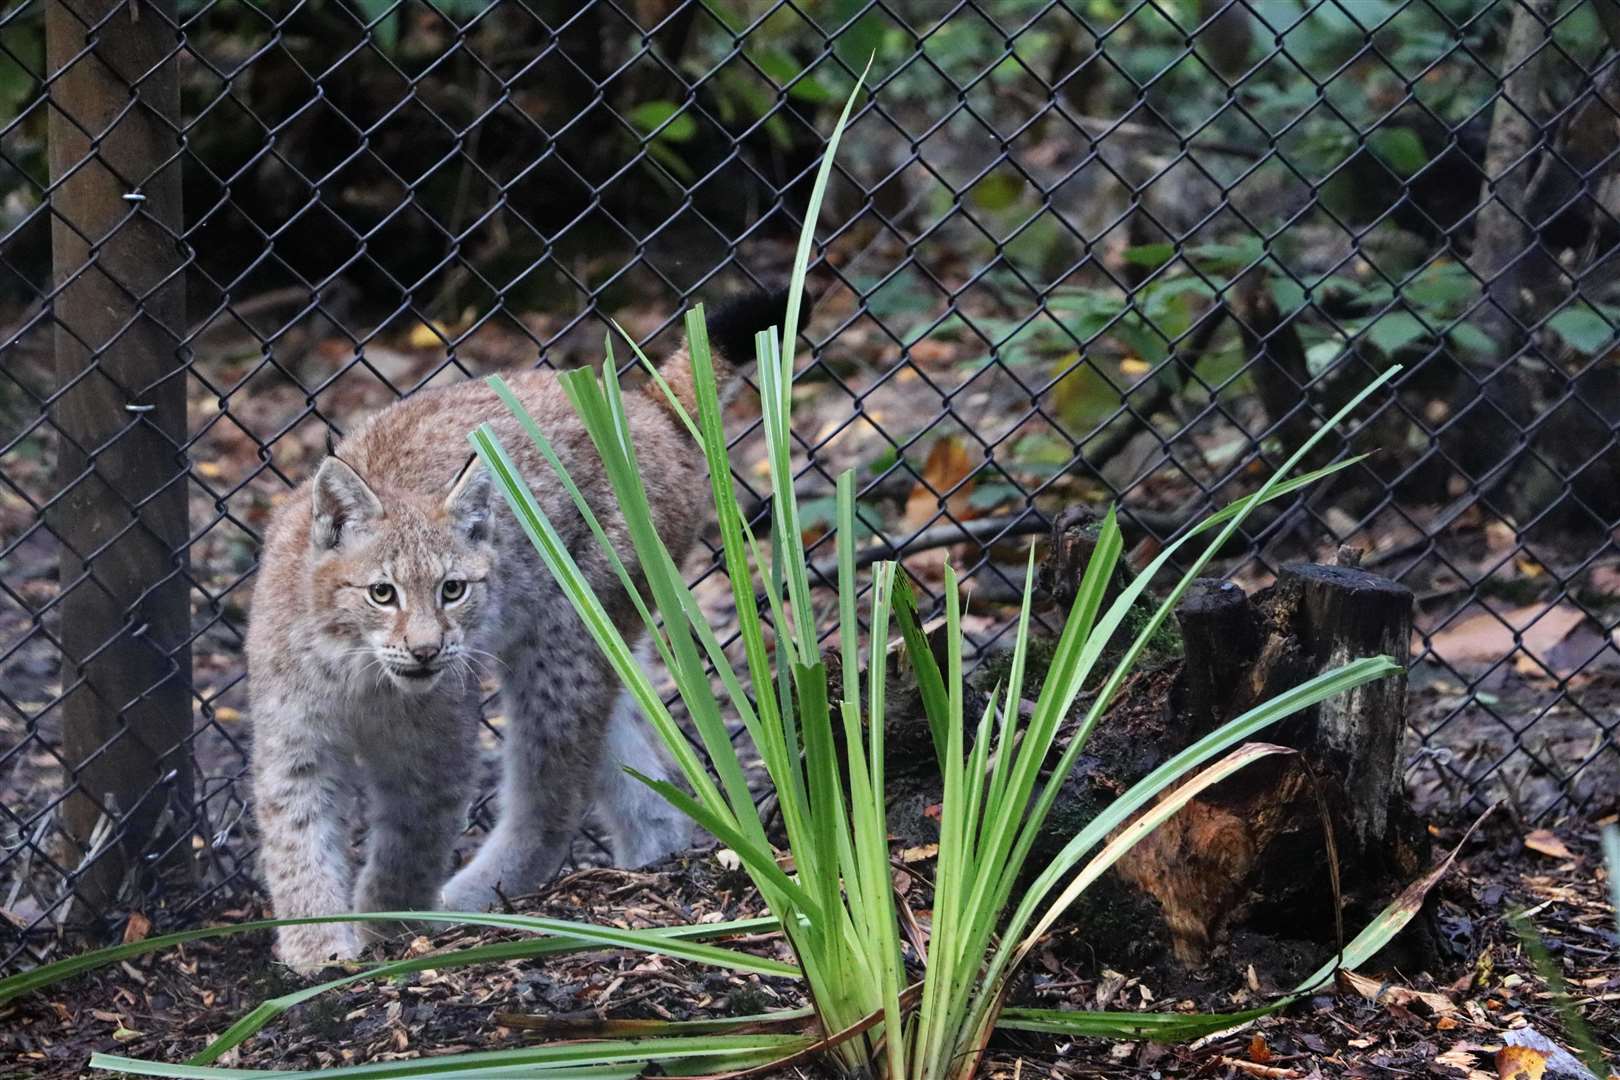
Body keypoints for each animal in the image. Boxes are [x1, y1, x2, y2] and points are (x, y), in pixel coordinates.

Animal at [249, 293, 780, 971]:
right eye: (382, 594)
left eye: (453, 590)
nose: (426, 651)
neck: (358, 668)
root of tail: (643, 405)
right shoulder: (295, 741)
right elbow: (295, 839)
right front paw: (316, 948)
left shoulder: (435, 749)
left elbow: (411, 839)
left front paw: (386, 923)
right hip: (602, 639)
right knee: (638, 769)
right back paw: (650, 867)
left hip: (563, 636)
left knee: (553, 797)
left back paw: (474, 901)